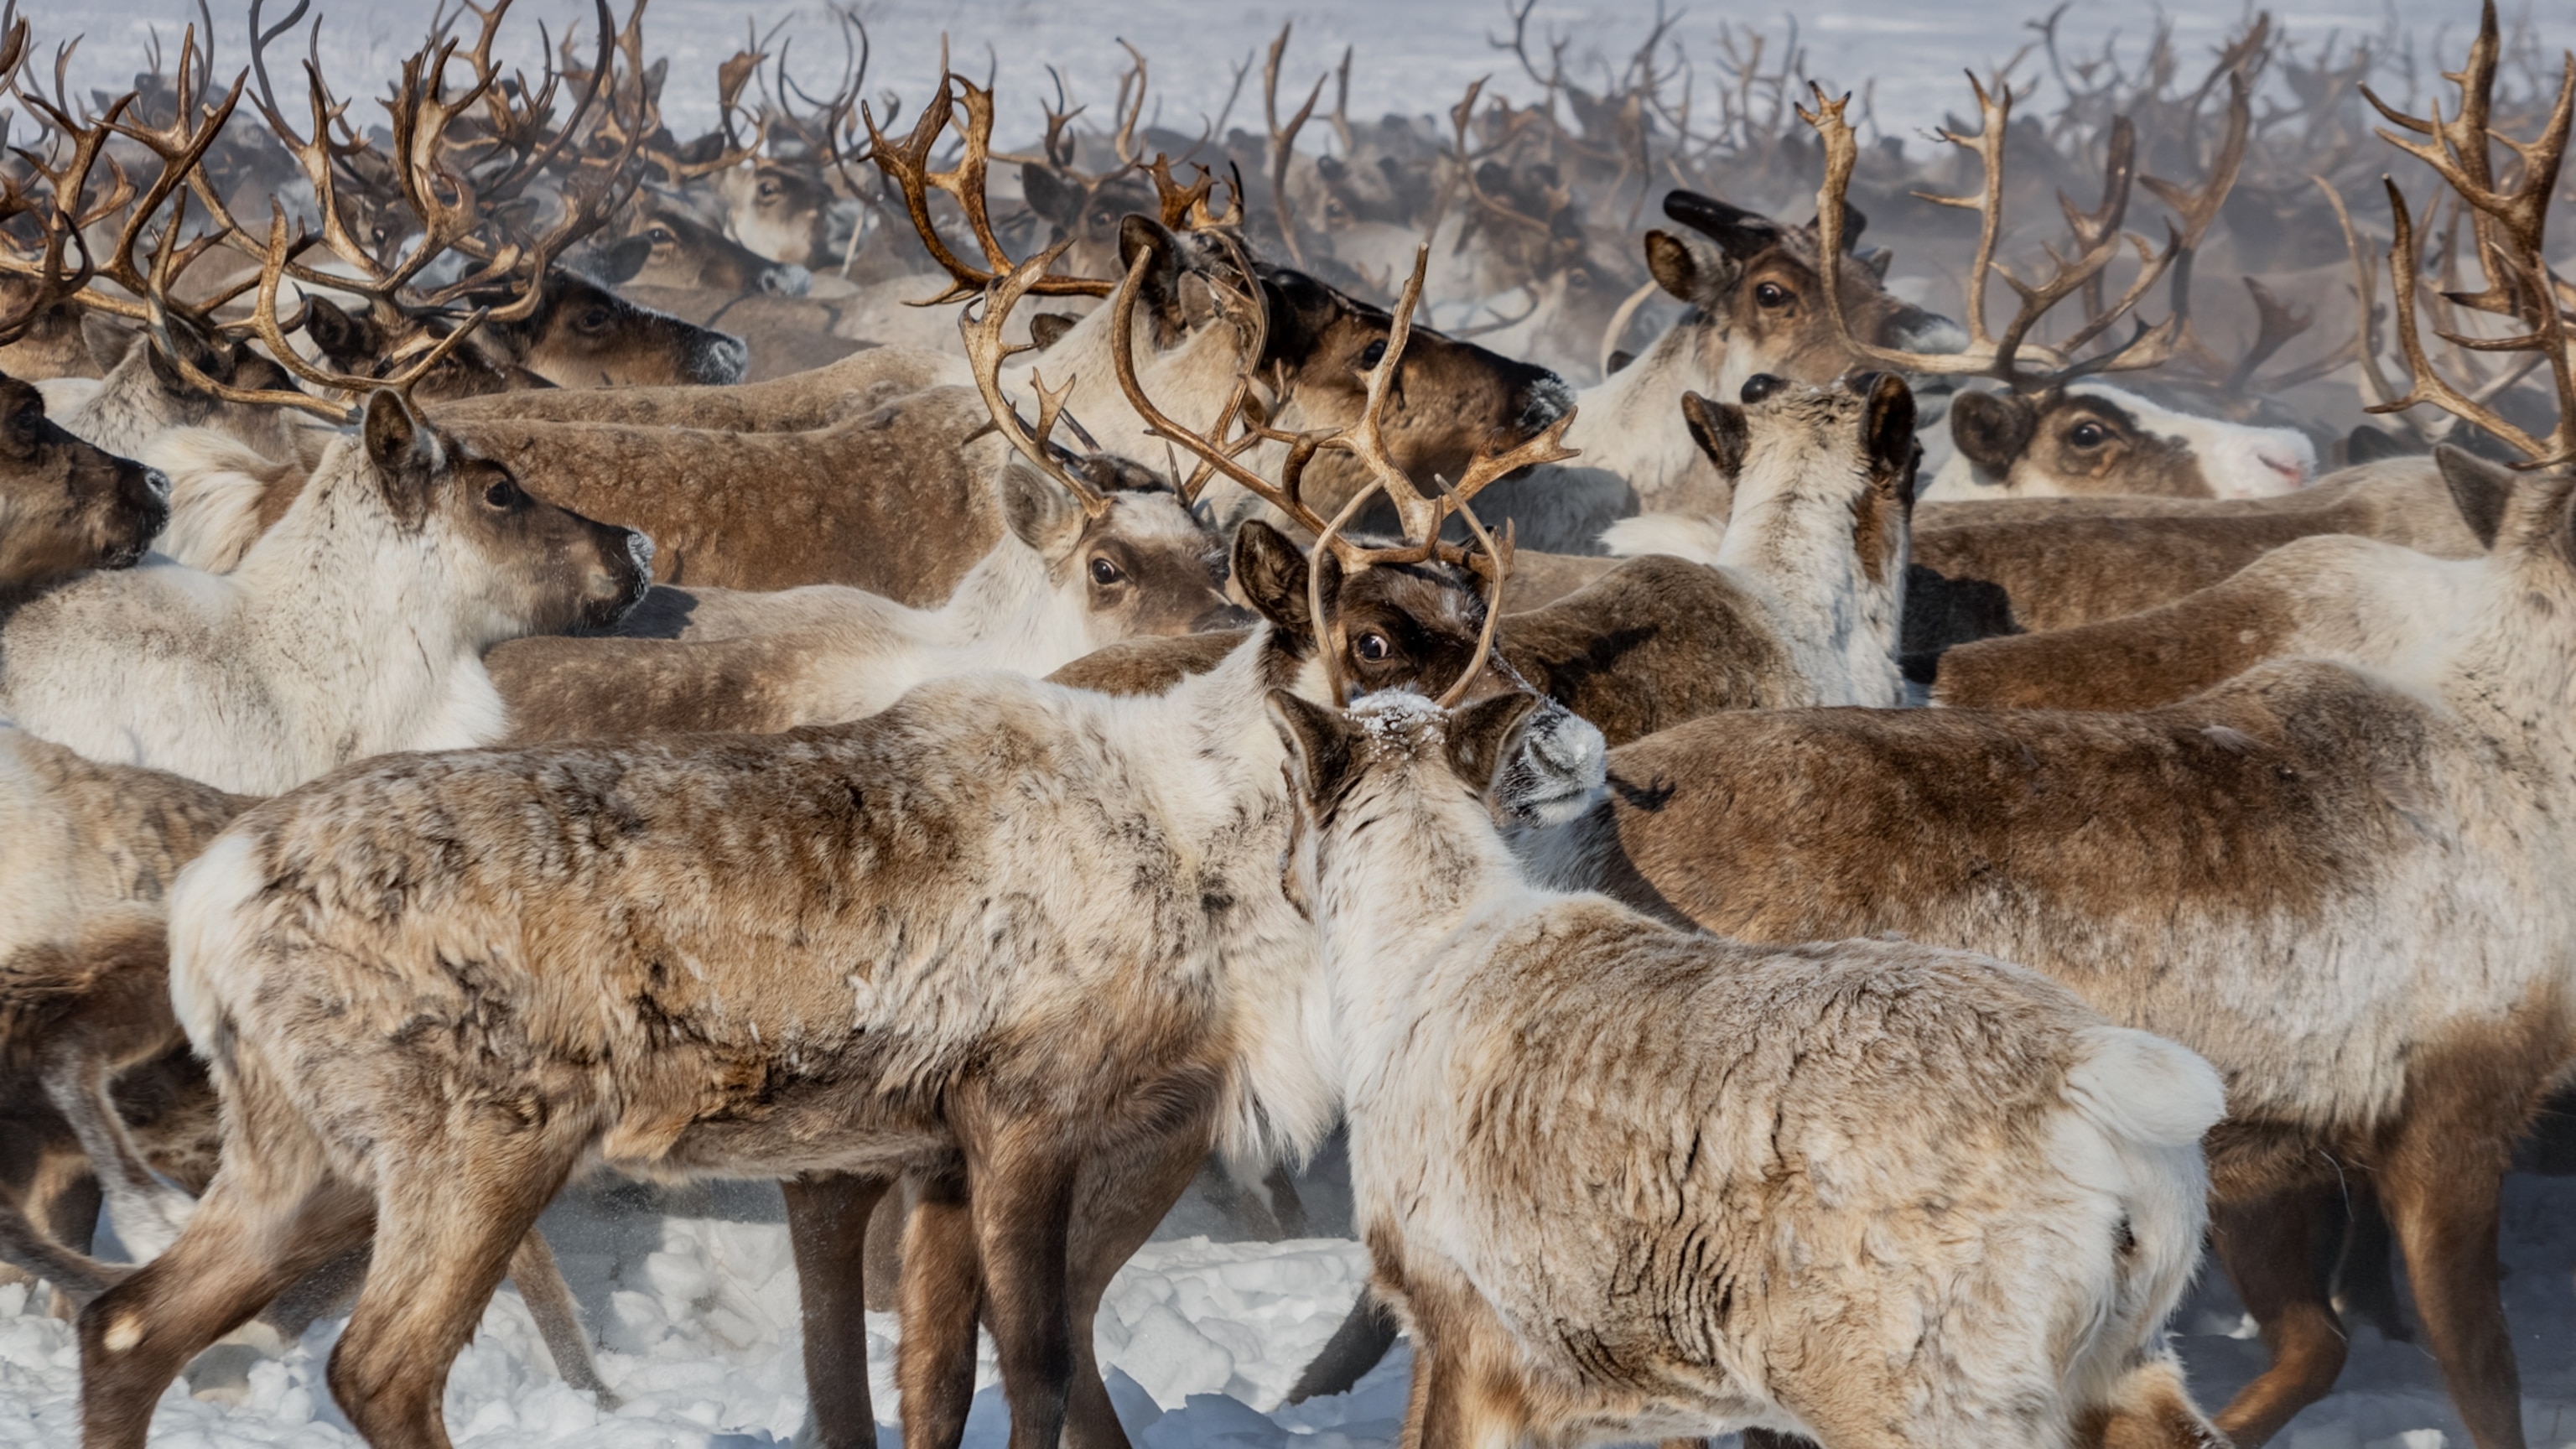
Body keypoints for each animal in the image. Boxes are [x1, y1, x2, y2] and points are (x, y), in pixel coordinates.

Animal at [74, 248, 1575, 1449]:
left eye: (1479, 624)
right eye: (1372, 638)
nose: (1553, 743)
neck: (1209, 848)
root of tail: (209, 898)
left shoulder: (922, 1150)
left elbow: (940, 1379)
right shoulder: (1023, 1112)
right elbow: (1036, 1366)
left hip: (303, 1150)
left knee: (128, 1329)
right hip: (473, 1138)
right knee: (379, 1368)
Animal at [1270, 684, 2229, 1449]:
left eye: (1284, 789)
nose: (1279, 882)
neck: (1405, 957)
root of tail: (2092, 1085)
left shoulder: (1459, 1325)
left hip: (1917, 1395)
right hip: (2123, 1362)